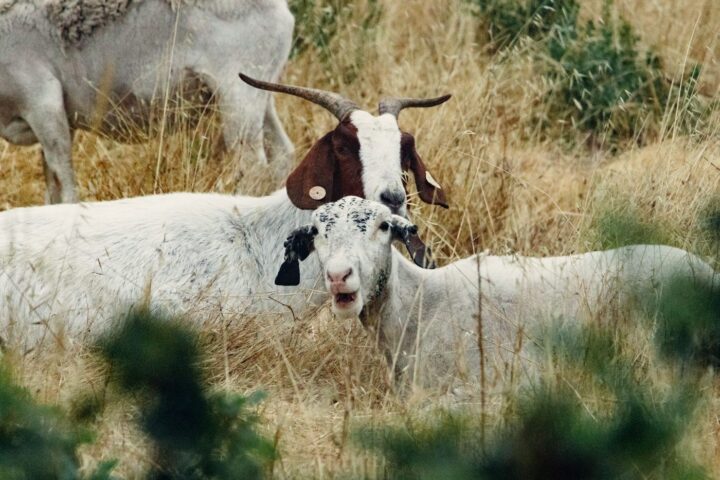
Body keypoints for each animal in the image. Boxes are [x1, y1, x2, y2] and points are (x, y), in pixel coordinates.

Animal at [0, 0, 295, 203]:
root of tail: (282, 11)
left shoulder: (44, 104)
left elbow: (65, 186)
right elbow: (52, 187)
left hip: (238, 96)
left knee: (252, 165)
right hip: (260, 93)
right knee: (283, 155)